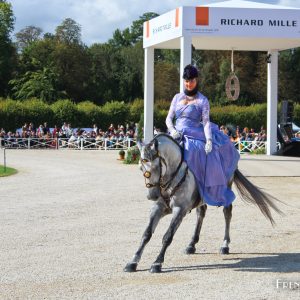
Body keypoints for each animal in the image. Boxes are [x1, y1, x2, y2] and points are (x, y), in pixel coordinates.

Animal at [123, 132, 282, 274]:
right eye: (141, 168)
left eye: (156, 167)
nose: (152, 195)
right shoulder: (158, 207)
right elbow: (146, 234)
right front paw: (133, 262)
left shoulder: (179, 210)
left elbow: (167, 237)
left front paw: (157, 263)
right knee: (201, 212)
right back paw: (191, 244)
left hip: (226, 189)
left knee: (227, 213)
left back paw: (225, 245)